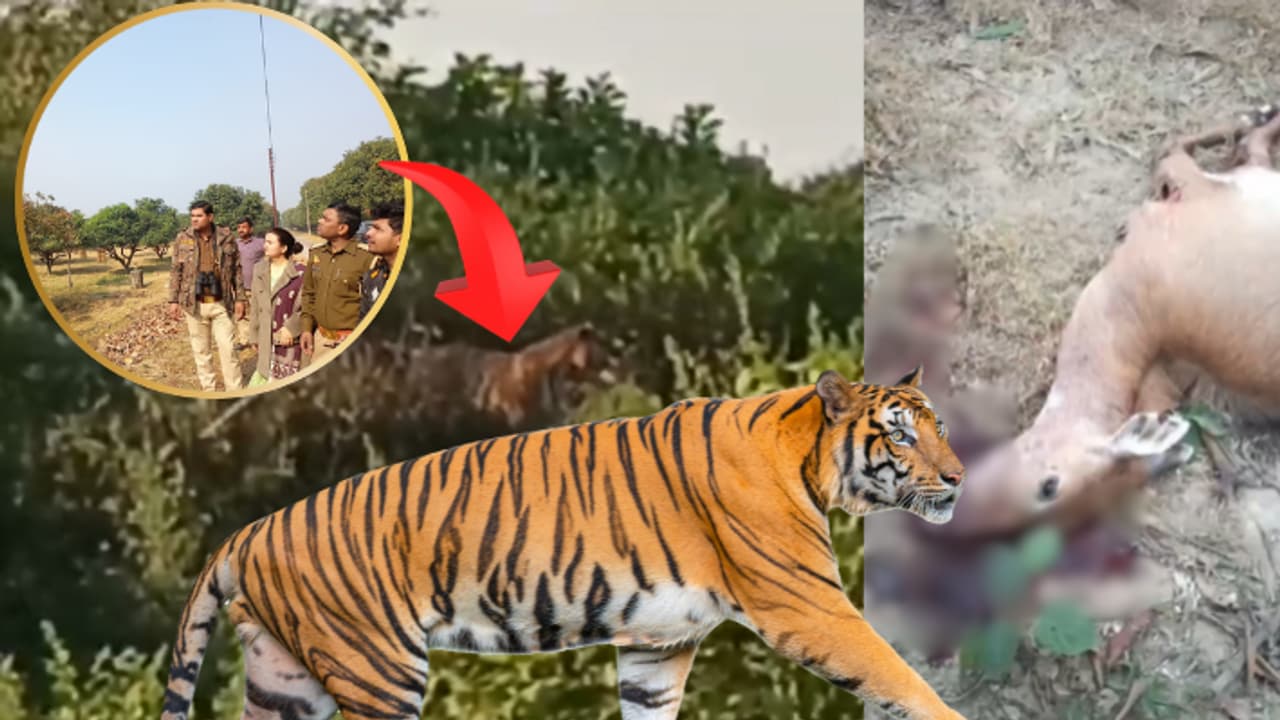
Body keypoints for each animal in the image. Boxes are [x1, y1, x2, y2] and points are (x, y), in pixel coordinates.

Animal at [160, 366, 968, 720]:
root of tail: (249, 531)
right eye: (901, 434)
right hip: (376, 670)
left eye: (939, 426)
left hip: (286, 681)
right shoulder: (808, 608)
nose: (959, 478)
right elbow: (900, 678)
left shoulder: (658, 646)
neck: (806, 456)